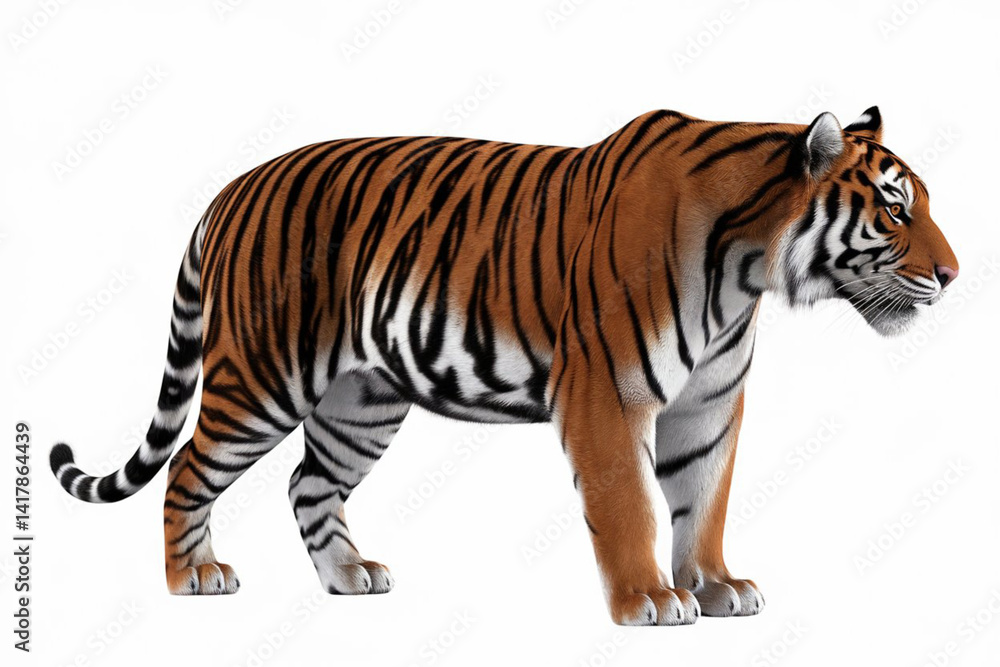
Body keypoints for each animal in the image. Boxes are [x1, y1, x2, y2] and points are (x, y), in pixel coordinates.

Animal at [50, 106, 958, 626]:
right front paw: (648, 601)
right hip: (262, 379)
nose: (953, 275)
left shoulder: (708, 407)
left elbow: (704, 501)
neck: (747, 268)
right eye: (893, 209)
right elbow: (631, 505)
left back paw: (349, 576)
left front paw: (716, 586)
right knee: (188, 468)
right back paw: (193, 578)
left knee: (308, 483)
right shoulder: (608, 394)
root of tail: (230, 188)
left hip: (361, 400)